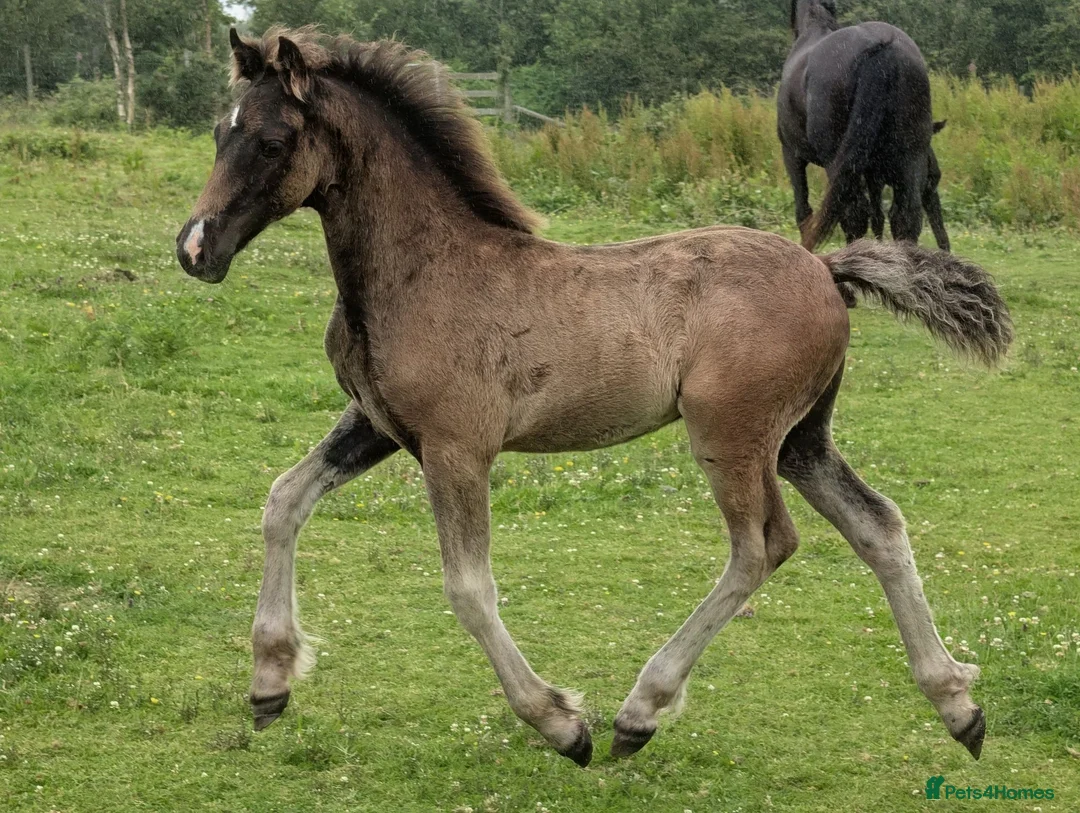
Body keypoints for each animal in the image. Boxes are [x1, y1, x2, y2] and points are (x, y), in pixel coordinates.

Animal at [176, 27, 1011, 766]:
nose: (195, 248)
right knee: (877, 524)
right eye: (220, 132)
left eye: (273, 142)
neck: (423, 271)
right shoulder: (376, 423)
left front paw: (560, 722)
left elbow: (469, 588)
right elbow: (284, 498)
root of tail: (826, 270)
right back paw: (958, 705)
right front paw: (269, 682)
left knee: (762, 545)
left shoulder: (456, 446)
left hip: (732, 433)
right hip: (802, 438)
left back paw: (639, 712)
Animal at [780, 1, 948, 251]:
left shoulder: (792, 155)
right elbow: (877, 214)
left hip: (837, 163)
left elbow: (804, 213)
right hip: (910, 158)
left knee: (854, 213)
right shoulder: (873, 171)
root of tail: (883, 48)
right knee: (905, 215)